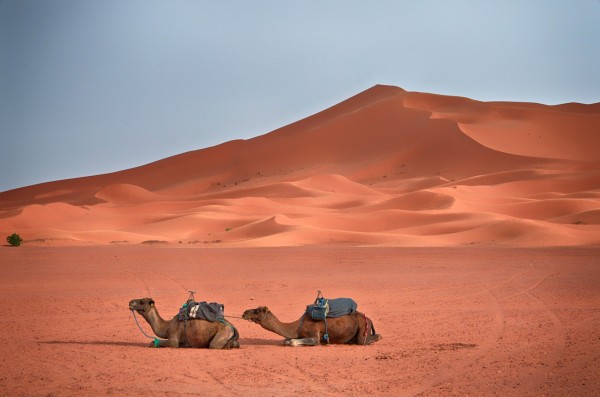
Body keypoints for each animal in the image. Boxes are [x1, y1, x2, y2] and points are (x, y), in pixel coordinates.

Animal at [241, 304, 382, 344]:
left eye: (257, 310)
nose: (244, 312)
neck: (297, 326)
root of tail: (369, 319)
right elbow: (286, 340)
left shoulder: (314, 335)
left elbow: (293, 342)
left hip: (363, 327)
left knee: (367, 339)